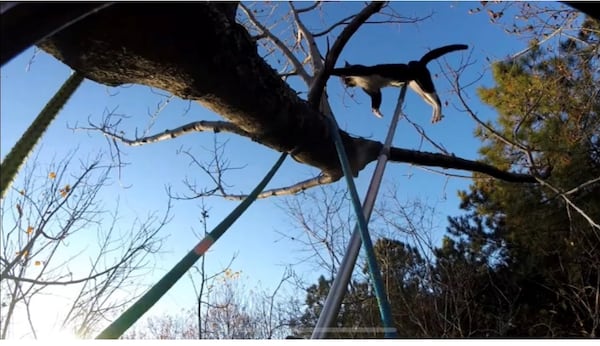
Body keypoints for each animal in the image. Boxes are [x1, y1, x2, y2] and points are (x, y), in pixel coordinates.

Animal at [332, 44, 468, 123]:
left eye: (344, 80)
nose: (346, 85)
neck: (359, 82)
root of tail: (419, 62)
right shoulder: (374, 90)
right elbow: (376, 100)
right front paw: (377, 112)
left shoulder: (359, 70)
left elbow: (340, 70)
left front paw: (329, 70)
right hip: (418, 90)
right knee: (432, 102)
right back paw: (435, 116)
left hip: (423, 82)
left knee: (437, 100)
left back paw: (438, 112)